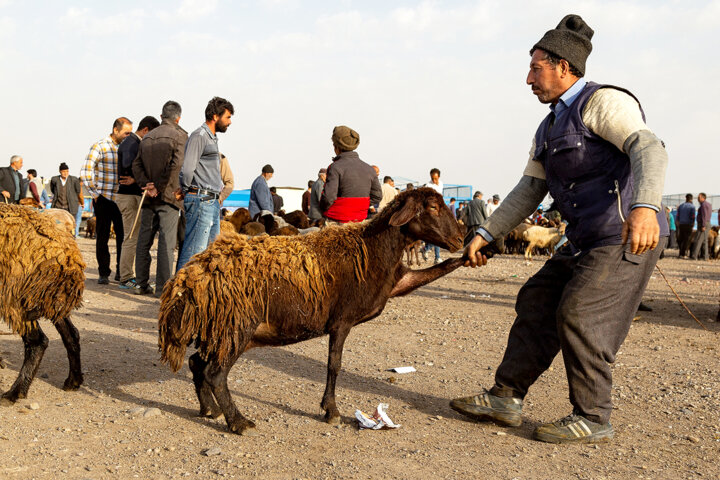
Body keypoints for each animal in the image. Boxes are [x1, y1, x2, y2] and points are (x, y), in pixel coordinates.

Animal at [0, 204, 86, 404]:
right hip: (51, 299)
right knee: (72, 334)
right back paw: (73, 381)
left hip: (16, 298)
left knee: (38, 341)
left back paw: (15, 393)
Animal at [156, 188, 466, 436]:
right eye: (433, 207)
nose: (460, 239)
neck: (373, 249)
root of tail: (186, 280)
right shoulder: (342, 321)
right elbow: (334, 365)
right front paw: (332, 411)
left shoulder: (397, 282)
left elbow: (435, 271)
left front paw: (470, 256)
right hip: (236, 328)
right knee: (215, 374)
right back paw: (238, 422)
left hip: (219, 330)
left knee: (196, 364)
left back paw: (210, 409)